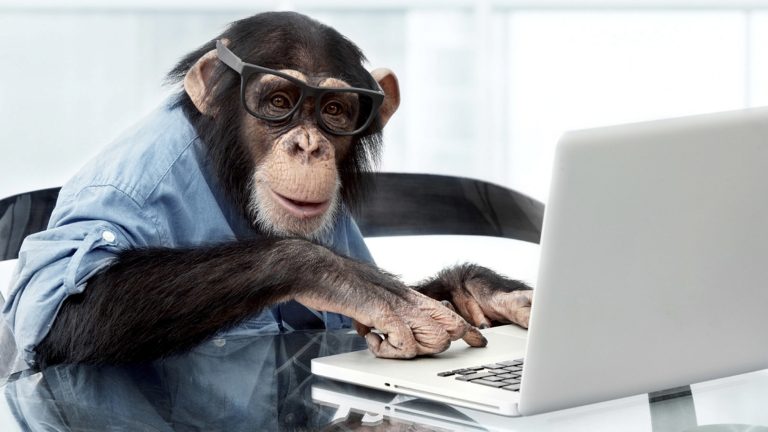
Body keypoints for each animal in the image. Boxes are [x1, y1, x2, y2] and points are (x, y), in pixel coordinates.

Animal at [3, 11, 533, 368]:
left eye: (335, 111)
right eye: (279, 102)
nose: (308, 145)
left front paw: (481, 290)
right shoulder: (130, 183)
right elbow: (62, 307)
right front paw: (351, 282)